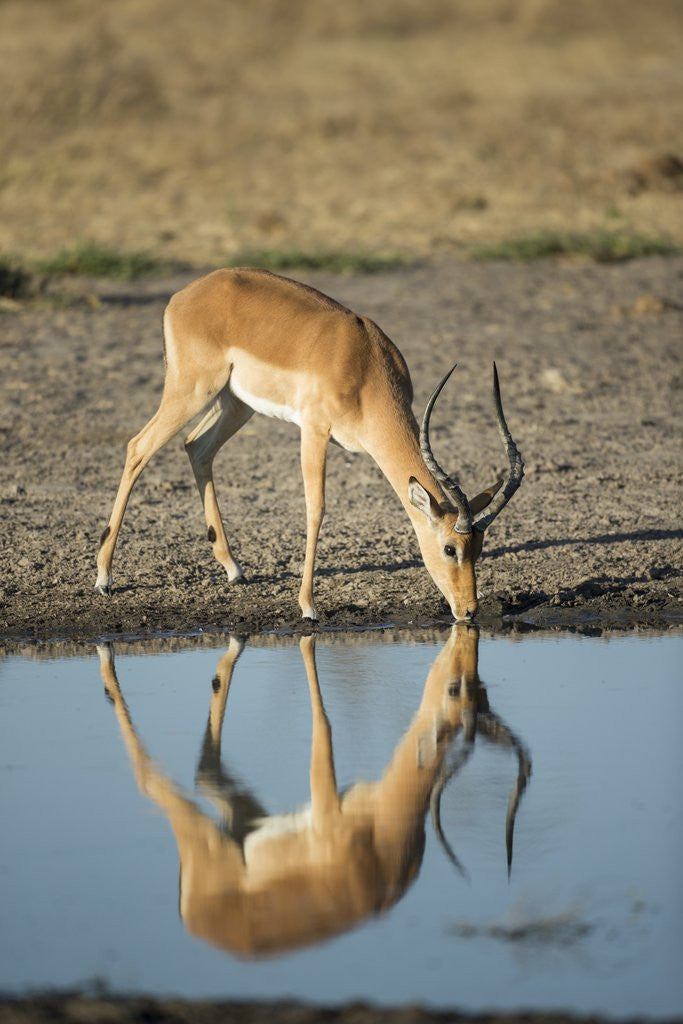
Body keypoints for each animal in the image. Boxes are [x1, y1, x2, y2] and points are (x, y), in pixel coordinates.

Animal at [95, 268, 524, 620]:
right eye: (451, 548)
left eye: (480, 548)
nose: (469, 611)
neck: (364, 366)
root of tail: (183, 295)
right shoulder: (314, 430)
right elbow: (315, 508)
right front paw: (307, 606)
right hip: (191, 390)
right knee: (138, 447)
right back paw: (103, 577)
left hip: (235, 403)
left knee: (196, 447)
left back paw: (233, 569)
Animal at [97, 626, 531, 958]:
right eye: (456, 691)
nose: (458, 666)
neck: (382, 839)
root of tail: (197, 924)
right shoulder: (325, 808)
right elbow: (323, 724)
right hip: (203, 837)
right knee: (149, 779)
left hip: (242, 818)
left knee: (205, 773)